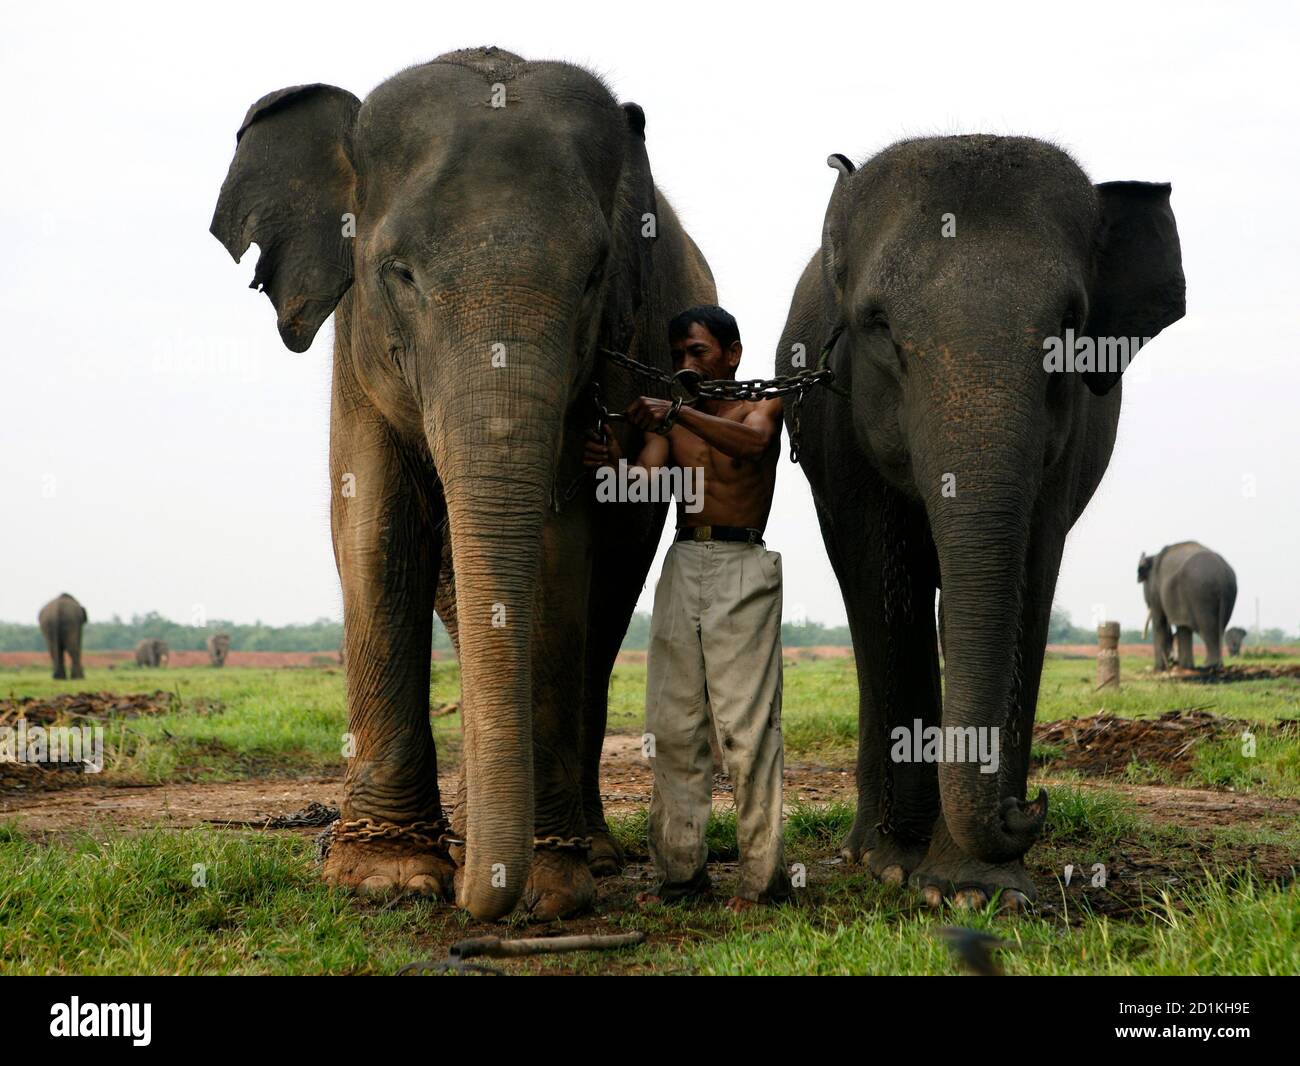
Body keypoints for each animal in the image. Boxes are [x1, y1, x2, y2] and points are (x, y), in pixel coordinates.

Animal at [214, 45, 722, 920]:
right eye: (398, 273)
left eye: (595, 275)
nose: (477, 898)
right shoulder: (356, 351)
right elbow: (375, 534)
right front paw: (386, 878)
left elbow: (556, 557)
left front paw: (550, 891)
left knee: (605, 606)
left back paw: (586, 850)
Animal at [774, 135, 1185, 909]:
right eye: (878, 326)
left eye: (1071, 327)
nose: (1030, 806)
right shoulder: (841, 425)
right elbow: (886, 578)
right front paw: (900, 869)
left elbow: (1029, 568)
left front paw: (976, 891)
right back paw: (866, 850)